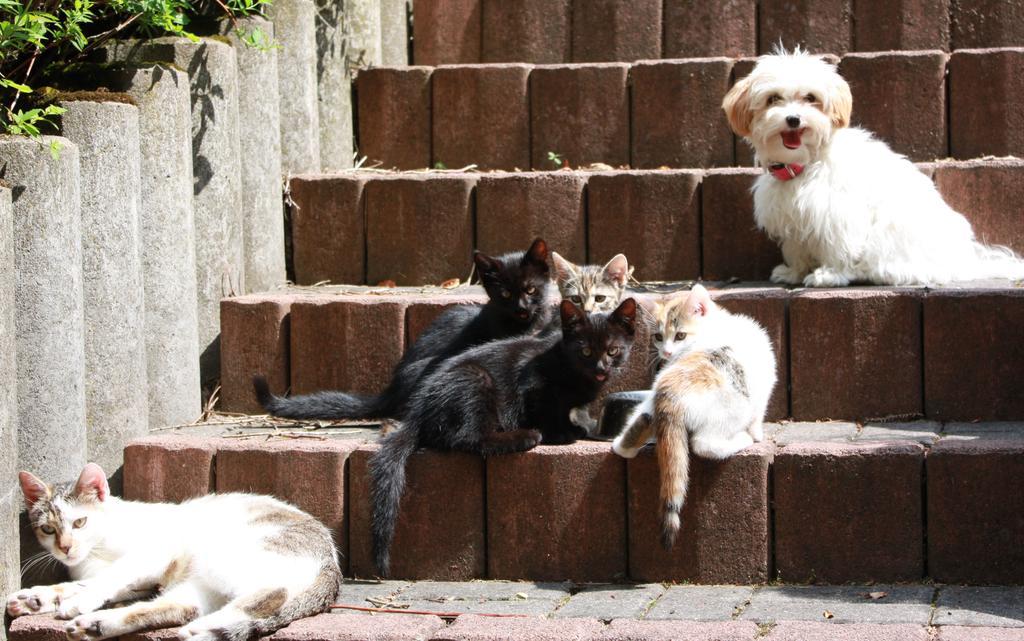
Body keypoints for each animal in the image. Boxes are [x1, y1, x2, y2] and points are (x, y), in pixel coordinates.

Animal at [6, 460, 339, 638]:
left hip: (224, 554)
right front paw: (36, 598)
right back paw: (96, 625)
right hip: (199, 583)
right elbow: (86, 583)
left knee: (272, 593)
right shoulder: (134, 579)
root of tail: (331, 564)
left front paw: (73, 601)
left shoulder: (153, 553)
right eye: (48, 529)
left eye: (80, 522)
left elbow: (109, 577)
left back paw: (204, 627)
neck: (97, 549)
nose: (65, 548)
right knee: (180, 608)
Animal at [372, 296, 634, 573]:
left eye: (613, 351)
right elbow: (546, 408)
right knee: (467, 437)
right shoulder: (534, 384)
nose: (601, 369)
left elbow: (565, 410)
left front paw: (573, 427)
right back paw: (524, 436)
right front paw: (559, 434)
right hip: (475, 379)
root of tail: (418, 412)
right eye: (585, 352)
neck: (567, 365)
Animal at [606, 282, 774, 544]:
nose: (666, 353)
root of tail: (670, 397)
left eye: (680, 336)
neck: (715, 326)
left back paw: (623, 444)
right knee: (705, 445)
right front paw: (757, 434)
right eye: (658, 336)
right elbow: (760, 412)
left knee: (637, 426)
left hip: (651, 400)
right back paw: (743, 439)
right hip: (730, 413)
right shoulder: (765, 383)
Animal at [720, 47, 1024, 282]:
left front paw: (830, 274)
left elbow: (837, 245)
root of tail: (967, 262)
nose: (794, 119)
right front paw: (794, 272)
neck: (806, 163)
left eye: (810, 98)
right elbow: (796, 247)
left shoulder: (837, 213)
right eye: (773, 99)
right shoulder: (791, 215)